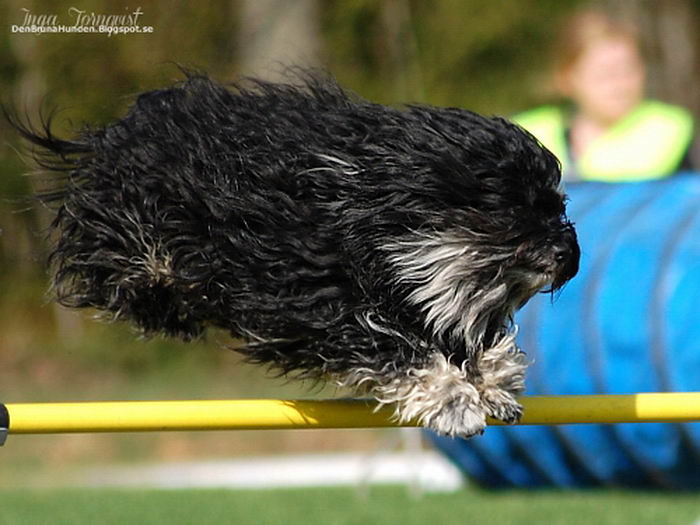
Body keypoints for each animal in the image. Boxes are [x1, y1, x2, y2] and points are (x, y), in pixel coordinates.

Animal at [9, 71, 580, 436]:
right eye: (513, 210)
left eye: (558, 205)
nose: (567, 256)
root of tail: (108, 139)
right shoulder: (316, 303)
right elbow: (395, 346)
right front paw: (455, 399)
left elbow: (470, 337)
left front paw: (495, 383)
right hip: (137, 242)